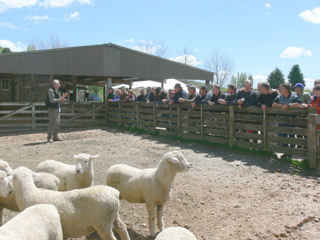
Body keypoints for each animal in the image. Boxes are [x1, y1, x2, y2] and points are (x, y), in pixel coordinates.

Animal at [1, 167, 129, 240]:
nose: (9, 192)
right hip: (114, 216)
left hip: (103, 224)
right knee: (122, 228)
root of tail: (115, 192)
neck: (29, 192)